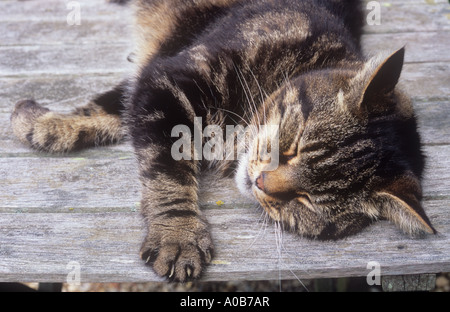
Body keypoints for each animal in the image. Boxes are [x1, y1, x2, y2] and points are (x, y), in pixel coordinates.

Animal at [10, 0, 436, 282]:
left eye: (306, 201)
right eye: (294, 145)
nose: (261, 182)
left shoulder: (153, 82)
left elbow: (111, 112)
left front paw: (40, 123)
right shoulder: (169, 79)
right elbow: (165, 169)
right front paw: (178, 234)